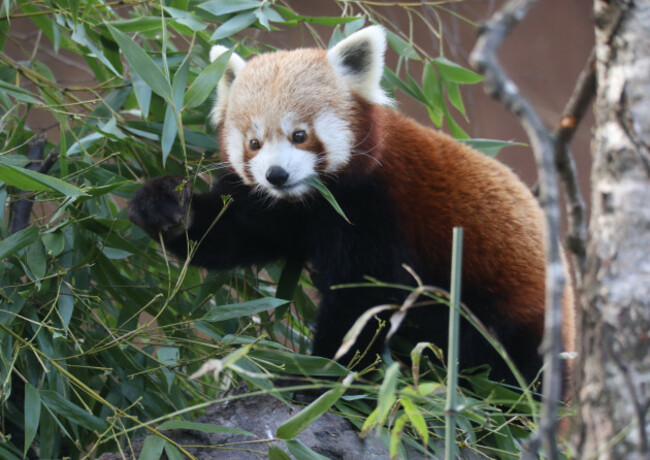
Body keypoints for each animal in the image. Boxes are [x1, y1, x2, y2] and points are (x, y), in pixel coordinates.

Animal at [126, 25, 572, 384]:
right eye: (254, 143)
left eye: (300, 135)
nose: (276, 174)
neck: (319, 200)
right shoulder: (285, 211)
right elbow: (231, 232)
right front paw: (165, 207)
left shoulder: (375, 208)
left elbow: (363, 301)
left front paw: (321, 374)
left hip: (510, 314)